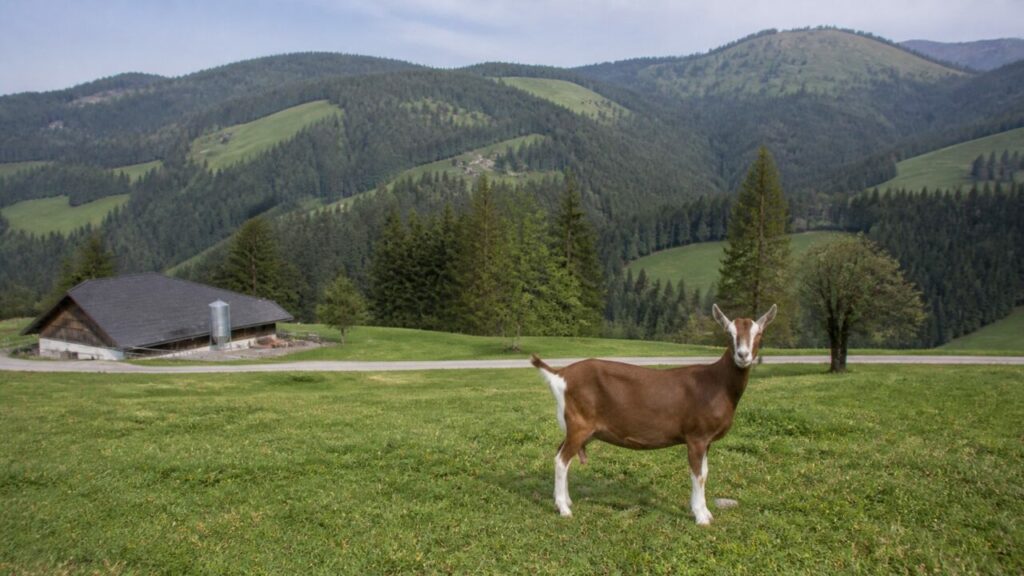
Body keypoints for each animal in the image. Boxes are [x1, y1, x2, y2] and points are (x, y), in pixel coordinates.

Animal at [531, 303, 777, 523]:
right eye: (729, 333)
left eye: (759, 333)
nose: (743, 355)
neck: (717, 383)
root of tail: (560, 374)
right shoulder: (696, 436)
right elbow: (698, 475)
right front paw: (701, 517)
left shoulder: (706, 440)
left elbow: (705, 473)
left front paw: (706, 513)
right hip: (579, 423)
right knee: (561, 460)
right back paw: (564, 509)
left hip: (582, 428)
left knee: (561, 453)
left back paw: (565, 501)